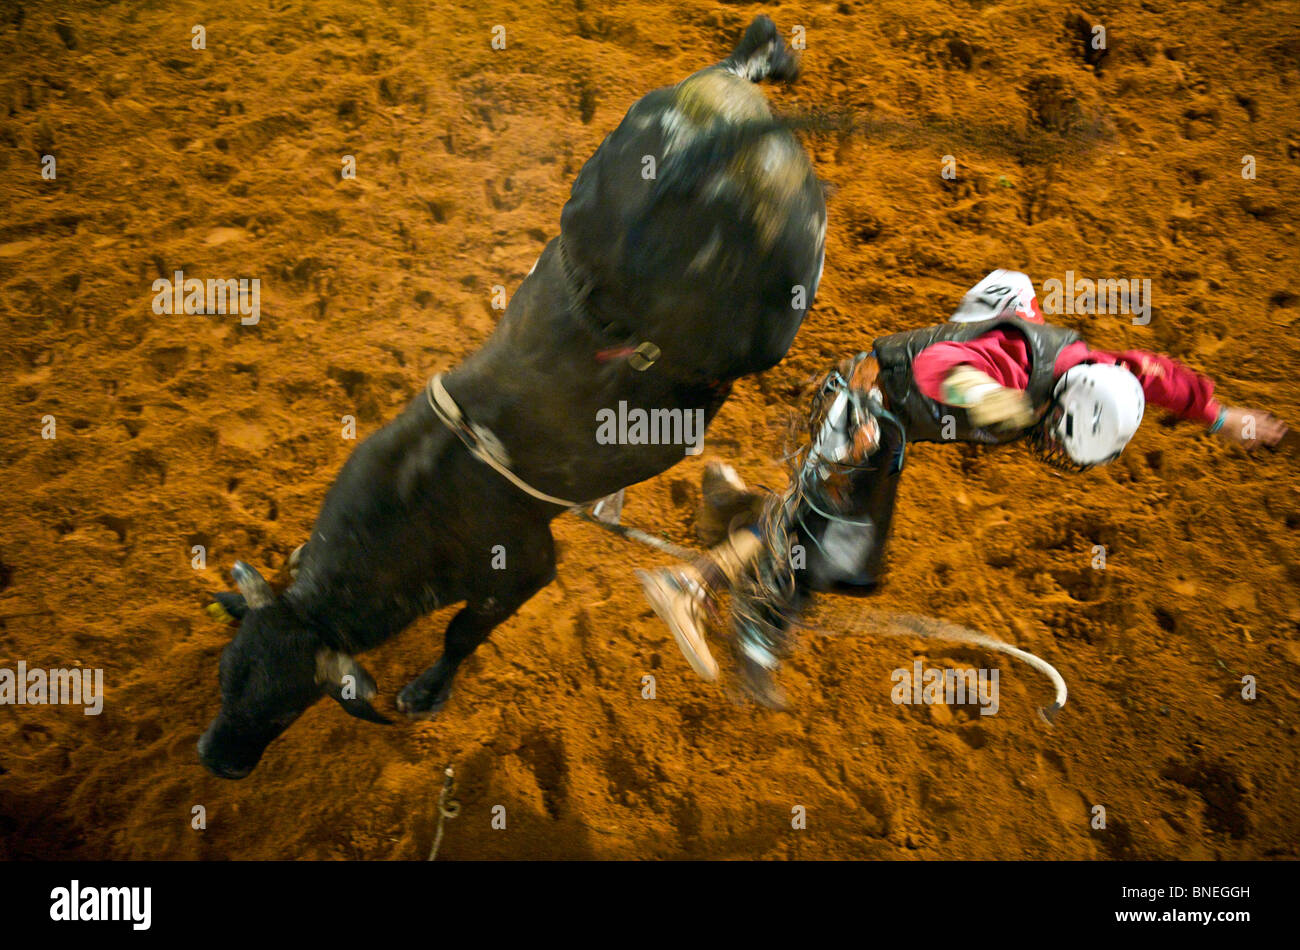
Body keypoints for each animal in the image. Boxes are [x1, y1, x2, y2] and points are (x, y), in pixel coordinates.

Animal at [195, 16, 821, 779]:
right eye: (227, 675)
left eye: (287, 709)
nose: (216, 759)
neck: (418, 504)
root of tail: (719, 120)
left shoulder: (519, 572)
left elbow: (462, 636)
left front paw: (427, 691)